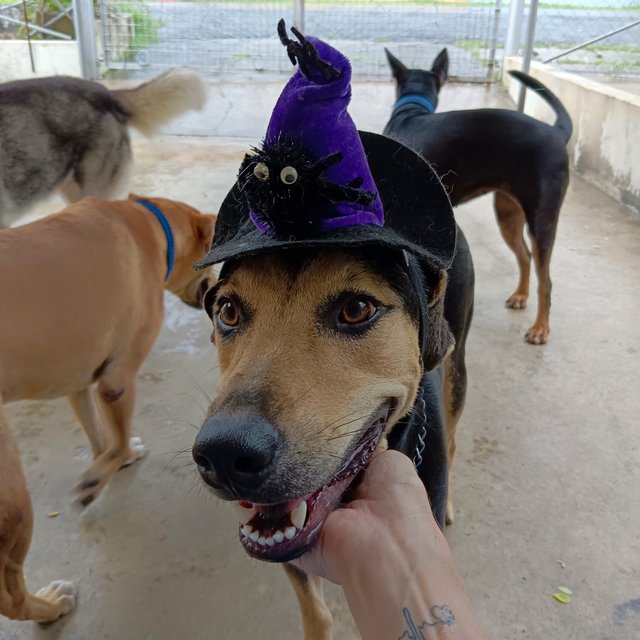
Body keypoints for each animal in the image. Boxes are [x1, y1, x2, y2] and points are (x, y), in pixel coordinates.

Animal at [0, 198, 215, 624]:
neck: (152, 223)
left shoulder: (80, 382)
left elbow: (102, 438)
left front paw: (113, 462)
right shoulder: (117, 382)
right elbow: (114, 438)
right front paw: (99, 477)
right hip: (13, 498)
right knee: (10, 597)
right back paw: (50, 607)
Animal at [192, 23, 472, 636]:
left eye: (356, 310)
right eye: (228, 312)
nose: (225, 453)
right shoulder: (295, 559)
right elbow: (314, 610)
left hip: (458, 358)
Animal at [382, 48, 572, 344]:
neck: (410, 111)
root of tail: (556, 132)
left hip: (542, 220)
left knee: (546, 281)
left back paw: (540, 328)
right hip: (507, 215)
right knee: (525, 256)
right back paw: (521, 295)